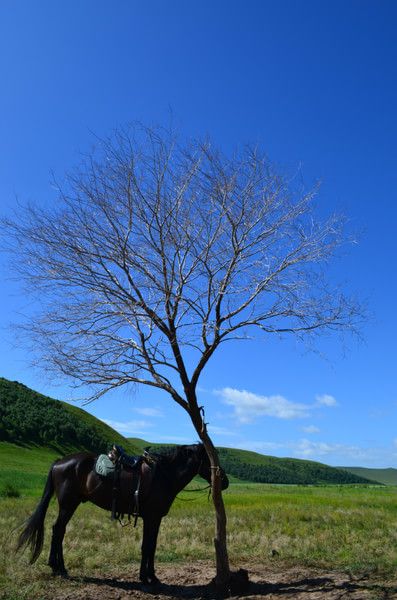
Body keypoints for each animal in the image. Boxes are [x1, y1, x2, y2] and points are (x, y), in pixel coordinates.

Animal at [17, 442, 229, 584]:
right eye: (209, 457)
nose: (225, 482)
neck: (164, 475)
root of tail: (60, 462)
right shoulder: (151, 518)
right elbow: (148, 546)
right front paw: (147, 577)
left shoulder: (154, 519)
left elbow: (150, 546)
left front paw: (149, 576)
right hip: (69, 504)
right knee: (58, 530)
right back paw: (57, 567)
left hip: (71, 505)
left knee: (60, 531)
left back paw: (60, 567)